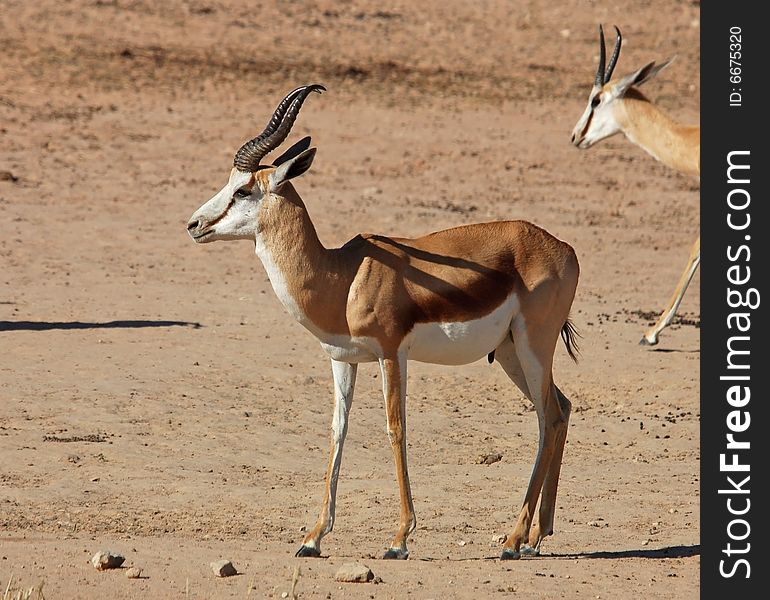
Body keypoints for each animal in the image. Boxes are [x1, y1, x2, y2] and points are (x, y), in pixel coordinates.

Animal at [188, 84, 584, 564]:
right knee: (560, 410)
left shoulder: (392, 354)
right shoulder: (343, 359)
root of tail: (563, 247)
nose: (194, 224)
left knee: (548, 416)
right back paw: (536, 536)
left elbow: (396, 429)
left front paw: (399, 539)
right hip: (509, 352)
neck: (342, 277)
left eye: (243, 189)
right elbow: (337, 431)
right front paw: (313, 538)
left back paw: (512, 540)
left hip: (532, 346)